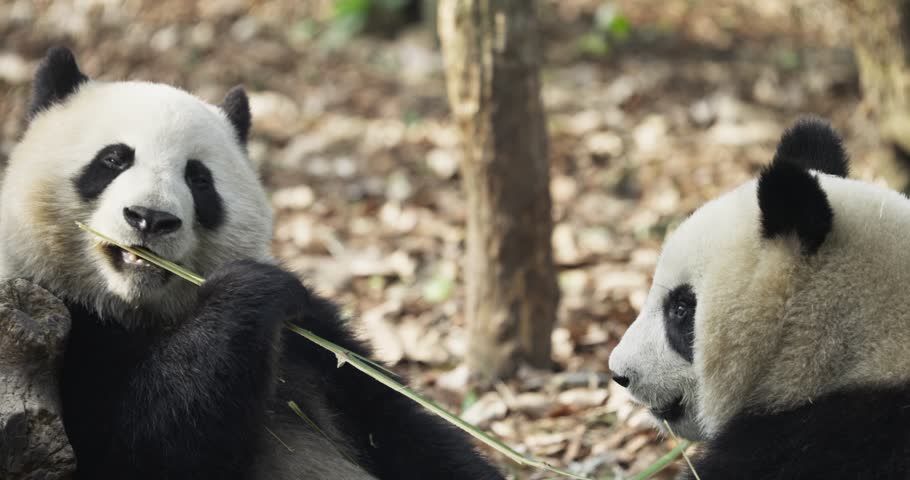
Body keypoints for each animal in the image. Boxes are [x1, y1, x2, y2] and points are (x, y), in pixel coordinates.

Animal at [0, 47, 504, 480]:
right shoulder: (63, 329)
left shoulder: (313, 343)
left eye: (198, 178)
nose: (151, 218)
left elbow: (400, 426)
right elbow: (142, 448)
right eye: (113, 159)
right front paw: (252, 289)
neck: (139, 311)